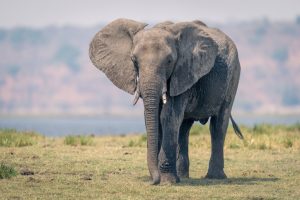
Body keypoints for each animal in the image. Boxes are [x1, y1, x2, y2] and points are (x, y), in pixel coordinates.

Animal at [89, 18, 244, 184]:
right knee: (184, 127)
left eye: (170, 61)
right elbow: (153, 118)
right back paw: (183, 177)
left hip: (233, 75)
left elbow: (167, 117)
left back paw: (214, 177)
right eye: (134, 60)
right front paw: (163, 179)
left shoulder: (183, 71)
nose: (152, 181)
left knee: (218, 124)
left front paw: (167, 182)